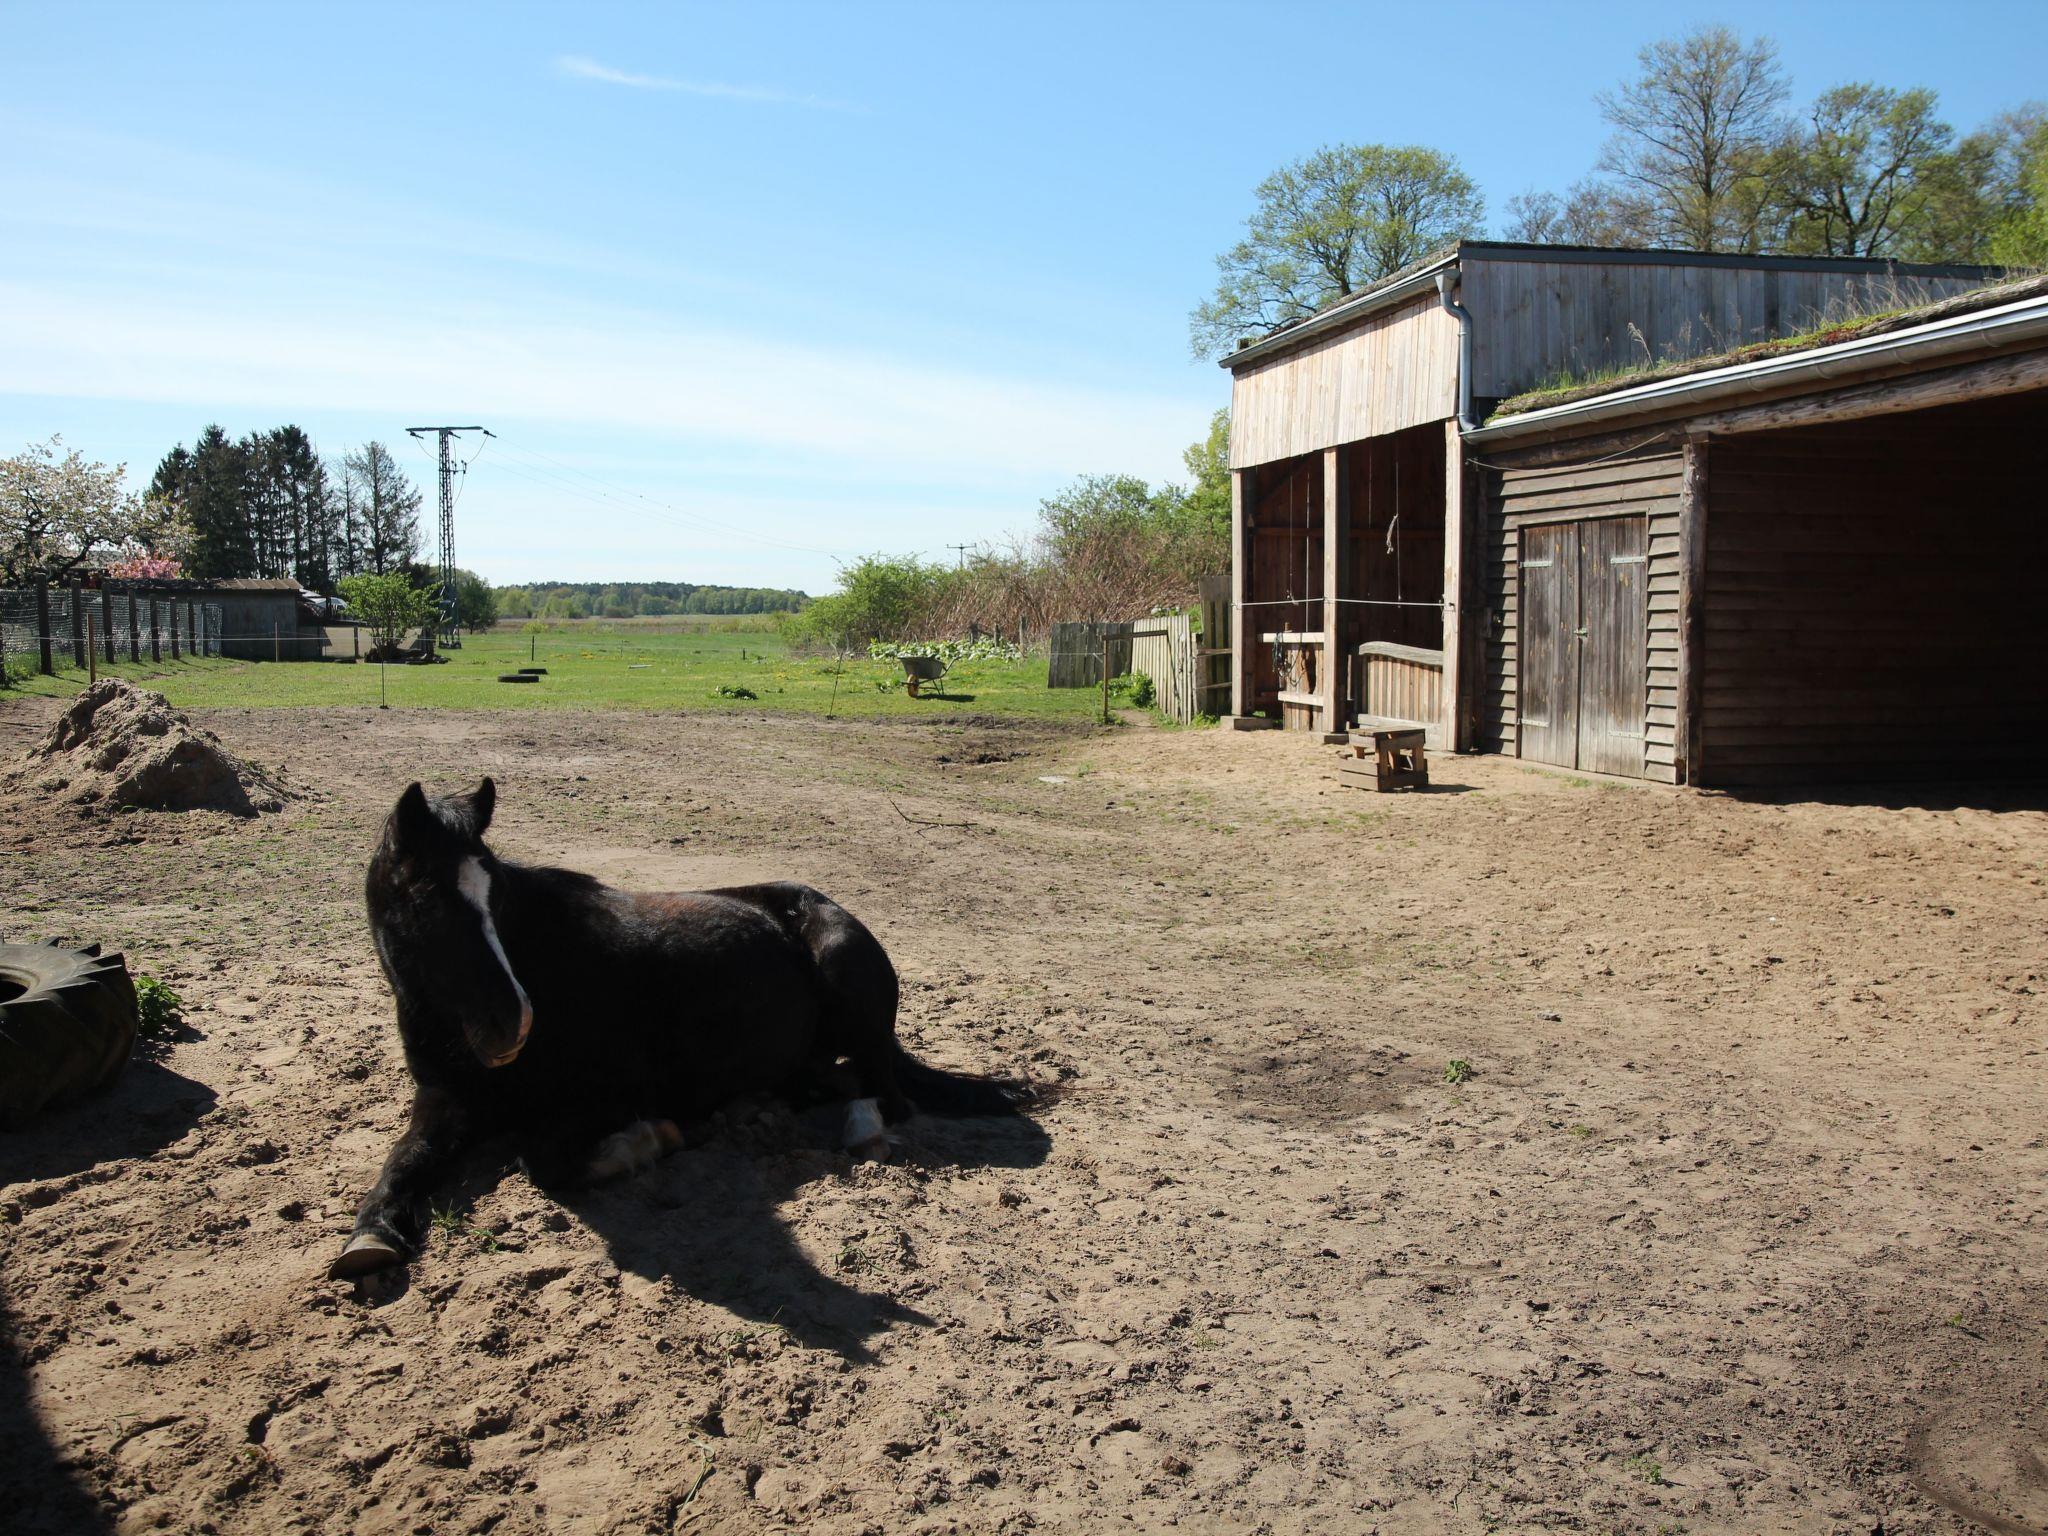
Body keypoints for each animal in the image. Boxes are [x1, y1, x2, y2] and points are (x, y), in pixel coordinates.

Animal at [330, 777, 1024, 1279]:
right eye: (424, 898)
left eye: (494, 898)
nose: (513, 1022)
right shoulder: (447, 1097)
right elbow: (405, 1158)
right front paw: (372, 1232)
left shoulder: (608, 1094)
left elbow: (544, 1162)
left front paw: (645, 1143)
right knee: (831, 1083)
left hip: (853, 993)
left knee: (885, 1097)